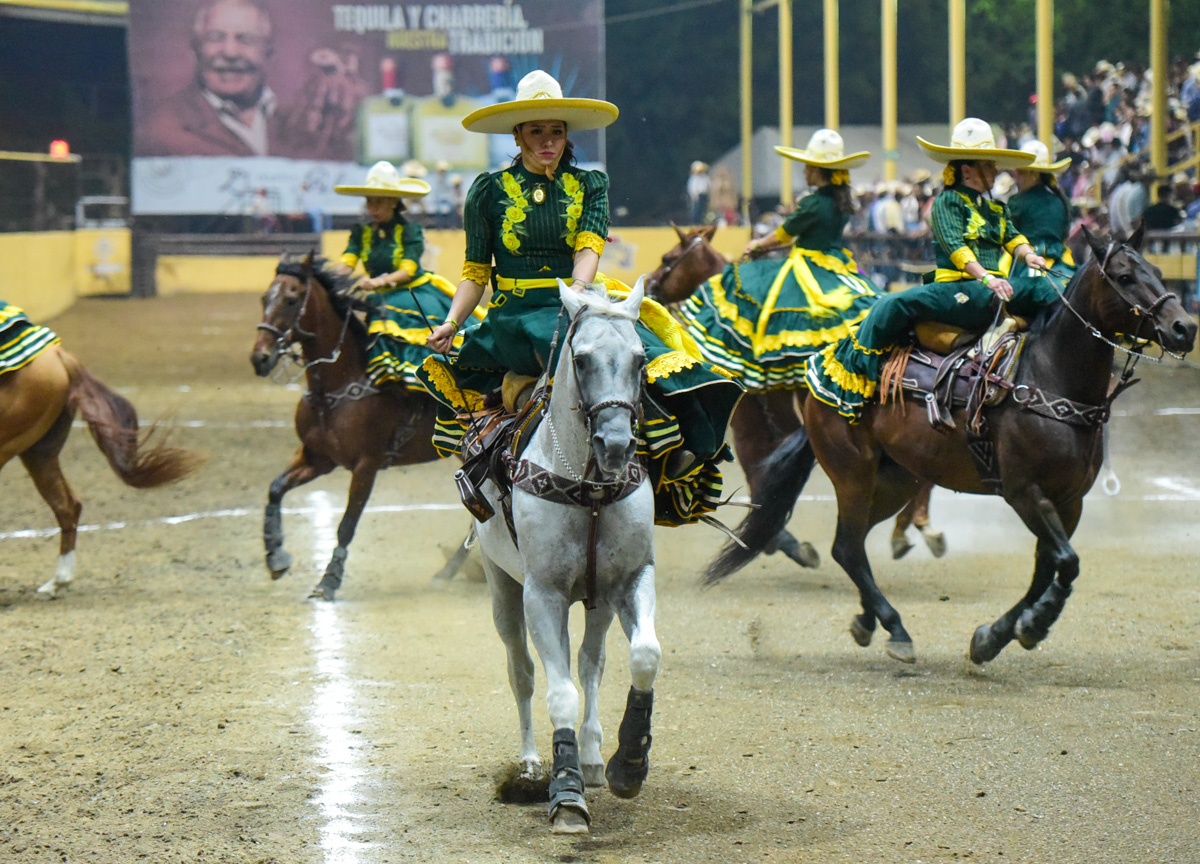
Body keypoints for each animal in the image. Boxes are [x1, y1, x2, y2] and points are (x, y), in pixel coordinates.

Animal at [250, 253, 470, 597]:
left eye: (291, 299)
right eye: (264, 298)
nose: (260, 358)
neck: (336, 388)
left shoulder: (367, 465)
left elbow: (346, 525)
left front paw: (328, 580)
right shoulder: (318, 458)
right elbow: (275, 489)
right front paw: (275, 555)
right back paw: (447, 572)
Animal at [472, 277, 662, 830]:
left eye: (641, 358)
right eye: (581, 359)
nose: (615, 443)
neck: (589, 489)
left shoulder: (631, 580)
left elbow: (643, 655)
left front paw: (628, 762)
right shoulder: (544, 595)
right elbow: (559, 693)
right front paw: (566, 793)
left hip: (597, 603)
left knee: (591, 663)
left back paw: (595, 758)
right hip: (502, 589)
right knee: (523, 674)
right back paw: (533, 765)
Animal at [648, 219, 945, 564]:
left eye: (668, 258)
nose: (651, 286)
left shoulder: (749, 422)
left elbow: (755, 470)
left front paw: (779, 540)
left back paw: (913, 528)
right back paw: (913, 529)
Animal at [705, 220, 1195, 662]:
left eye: (1158, 270)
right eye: (1125, 277)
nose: (1184, 327)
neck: (1049, 381)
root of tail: (819, 377)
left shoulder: (1069, 502)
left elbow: (1049, 567)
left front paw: (994, 637)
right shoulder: (1024, 492)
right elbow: (1065, 563)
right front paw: (1034, 624)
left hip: (894, 481)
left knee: (853, 544)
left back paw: (868, 620)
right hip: (852, 473)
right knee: (846, 547)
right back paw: (895, 628)